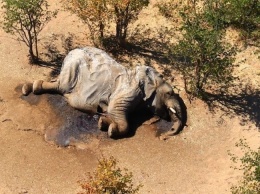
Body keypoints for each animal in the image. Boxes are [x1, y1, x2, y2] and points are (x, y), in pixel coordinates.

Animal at [21, 46, 185, 138]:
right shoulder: (129, 90)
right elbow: (115, 110)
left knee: (58, 85)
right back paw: (28, 88)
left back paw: (29, 87)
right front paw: (110, 129)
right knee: (61, 86)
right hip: (73, 67)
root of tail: (70, 52)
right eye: (169, 93)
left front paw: (103, 122)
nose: (164, 136)